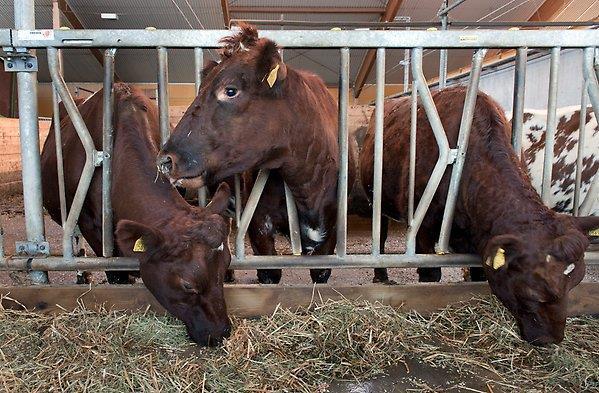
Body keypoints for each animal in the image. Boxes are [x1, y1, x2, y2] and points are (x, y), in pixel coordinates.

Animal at [156, 23, 360, 282]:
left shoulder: (332, 233)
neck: (306, 186)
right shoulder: (258, 226)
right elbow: (269, 273)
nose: (166, 159)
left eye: (230, 90)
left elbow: (320, 273)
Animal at [360, 86, 599, 344]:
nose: (551, 339)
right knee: (380, 238)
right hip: (376, 201)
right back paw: (381, 276)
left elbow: (478, 276)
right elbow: (431, 275)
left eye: (575, 283)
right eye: (532, 293)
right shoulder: (423, 229)